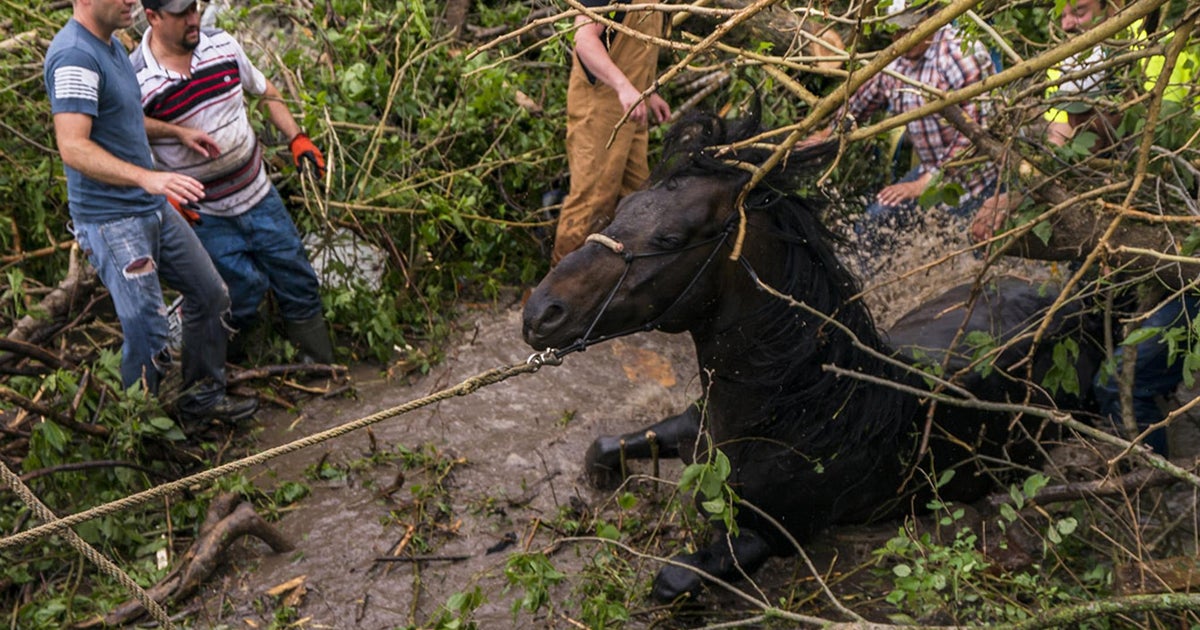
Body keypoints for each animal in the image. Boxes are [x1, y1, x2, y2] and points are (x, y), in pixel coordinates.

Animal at [522, 110, 1105, 602]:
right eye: (621, 209)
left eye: (669, 237)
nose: (540, 313)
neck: (803, 409)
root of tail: (1071, 305)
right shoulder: (691, 424)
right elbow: (603, 446)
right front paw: (600, 483)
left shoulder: (775, 533)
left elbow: (672, 579)